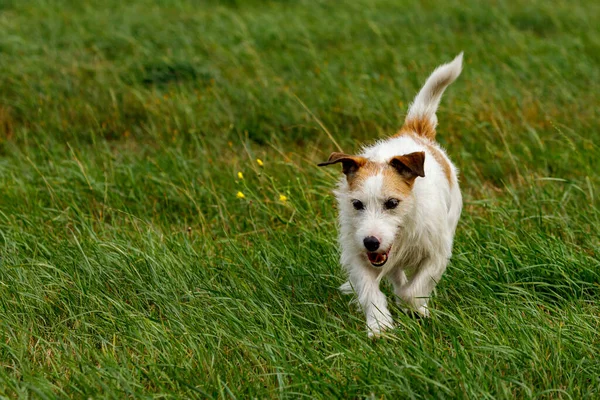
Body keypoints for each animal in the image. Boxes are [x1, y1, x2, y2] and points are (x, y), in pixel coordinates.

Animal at [318, 51, 464, 336]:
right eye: (357, 204)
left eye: (392, 203)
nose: (371, 242)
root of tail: (414, 131)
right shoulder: (358, 255)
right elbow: (369, 290)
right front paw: (379, 324)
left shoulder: (437, 254)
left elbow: (414, 289)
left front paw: (414, 307)